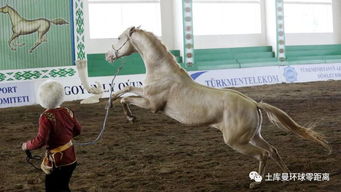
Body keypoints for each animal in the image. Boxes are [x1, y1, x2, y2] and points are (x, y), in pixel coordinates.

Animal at [103, 26, 330, 188]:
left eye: (119, 38)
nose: (107, 56)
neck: (163, 72)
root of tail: (254, 104)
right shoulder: (146, 95)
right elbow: (126, 90)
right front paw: (111, 103)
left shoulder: (151, 104)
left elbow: (127, 98)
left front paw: (129, 116)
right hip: (253, 136)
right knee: (272, 150)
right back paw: (287, 176)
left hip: (236, 141)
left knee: (263, 154)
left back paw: (255, 183)